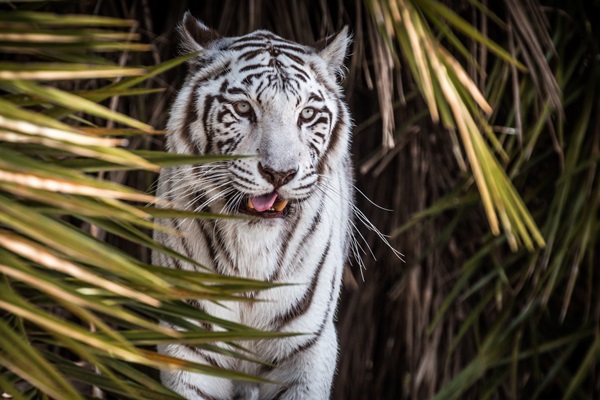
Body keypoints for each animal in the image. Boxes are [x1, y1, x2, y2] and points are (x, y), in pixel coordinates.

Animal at [152, 12, 354, 400]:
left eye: (307, 114)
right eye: (243, 108)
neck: (251, 252)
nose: (280, 173)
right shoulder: (190, 345)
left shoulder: (306, 348)